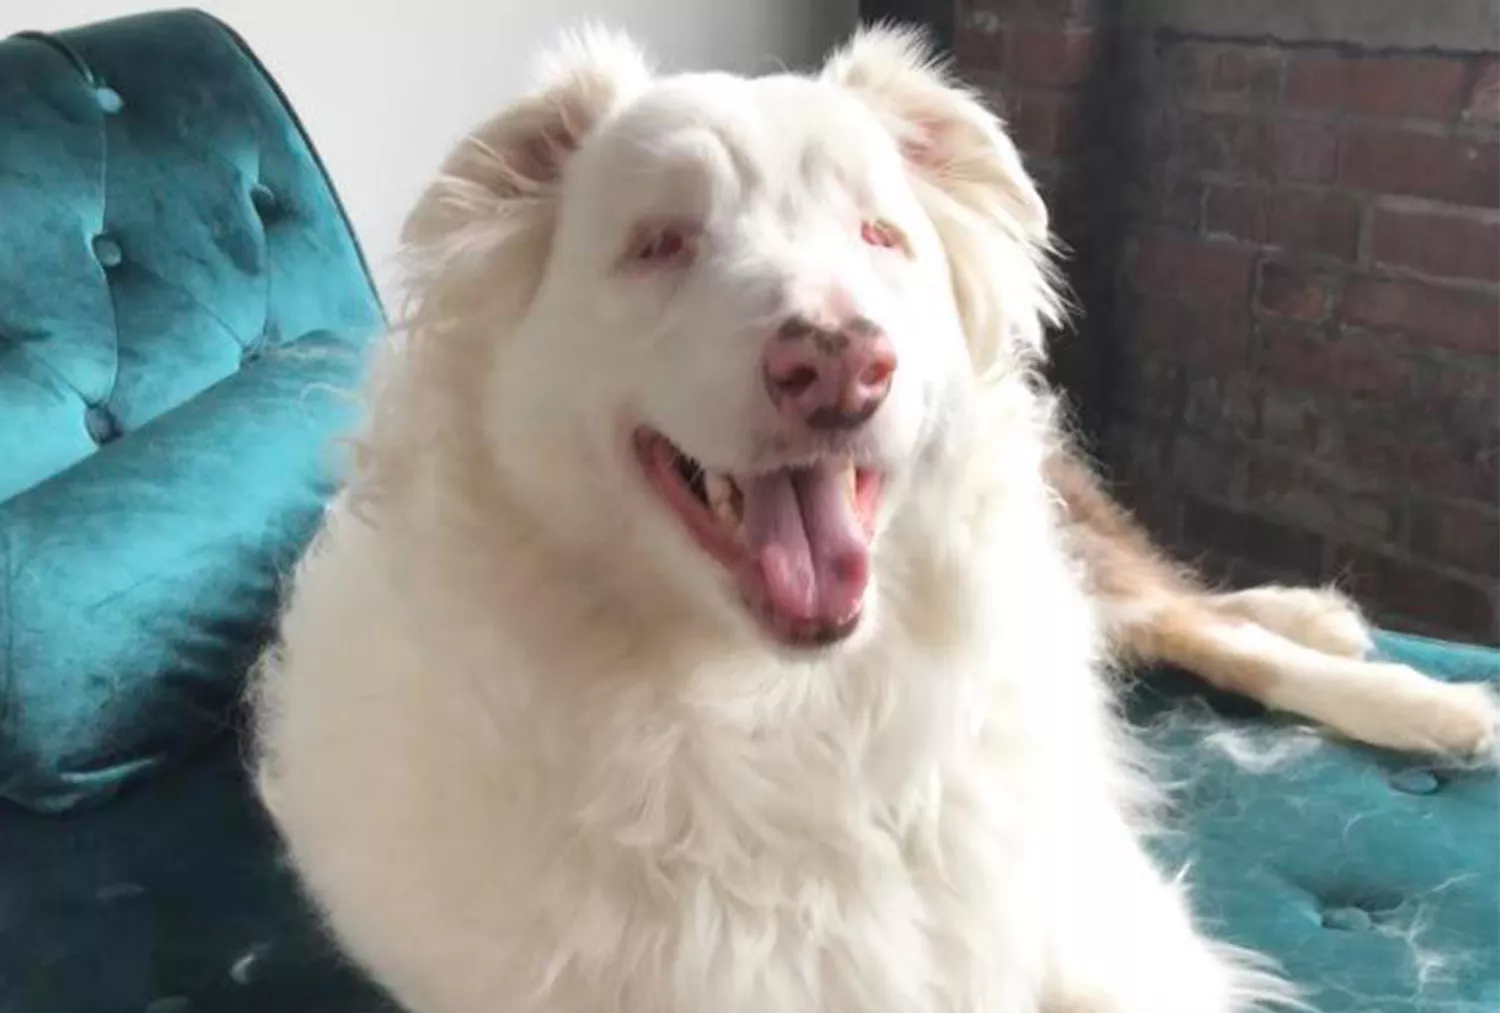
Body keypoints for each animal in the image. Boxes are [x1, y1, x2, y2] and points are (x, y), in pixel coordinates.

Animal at [252, 25, 1494, 1013]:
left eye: (879, 235)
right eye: (660, 242)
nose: (842, 365)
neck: (779, 707)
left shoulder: (1099, 919)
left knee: (1189, 616)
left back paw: (1415, 691)